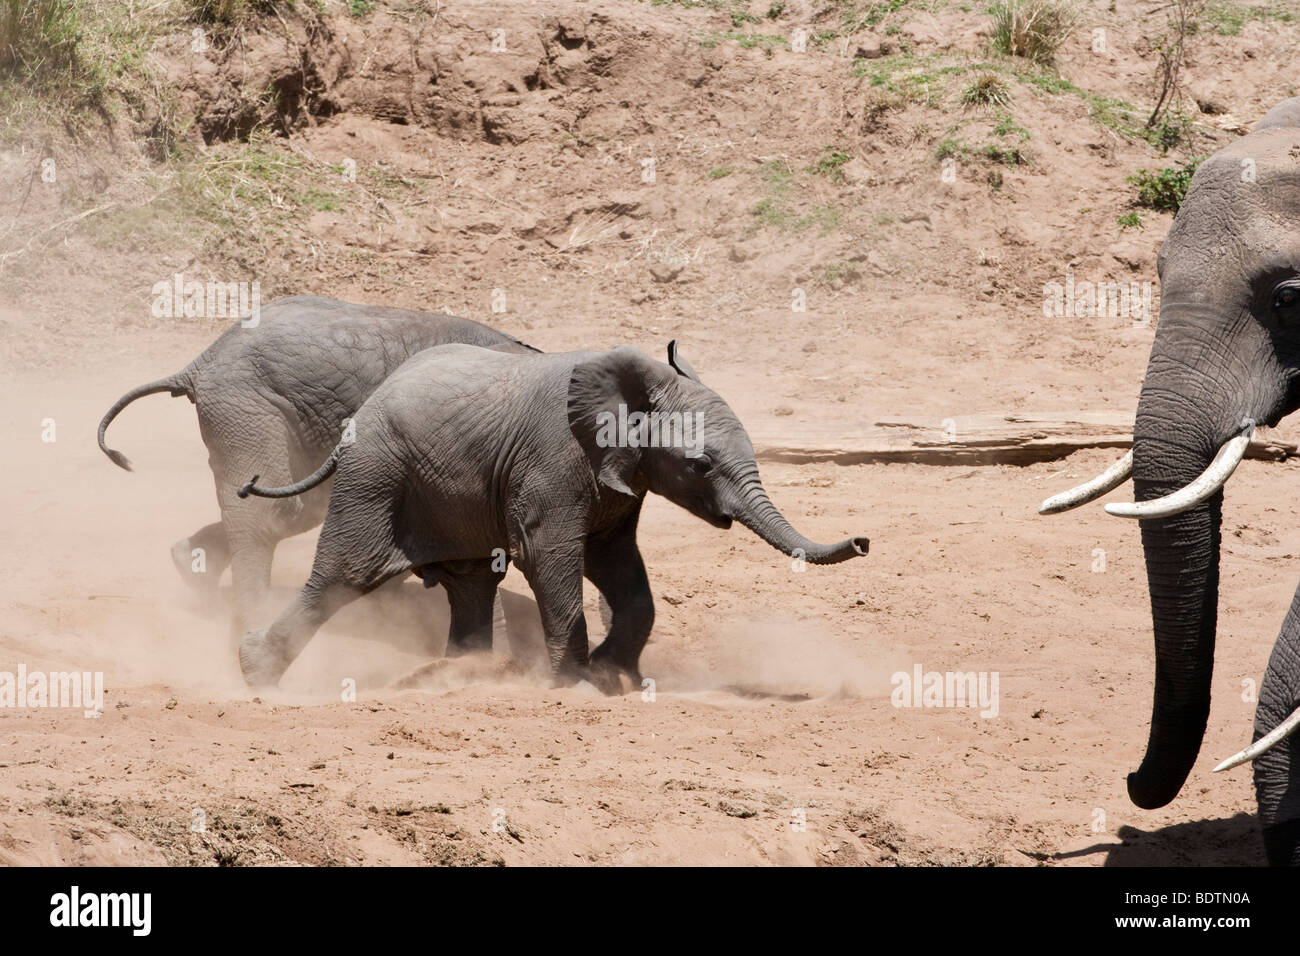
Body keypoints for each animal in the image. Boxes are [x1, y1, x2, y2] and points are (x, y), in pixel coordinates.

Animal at [241, 343, 873, 697]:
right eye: (700, 465)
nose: (864, 540)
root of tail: (365, 407)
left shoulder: (618, 476)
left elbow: (618, 566)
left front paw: (614, 676)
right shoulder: (554, 458)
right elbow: (550, 556)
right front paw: (577, 685)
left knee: (471, 583)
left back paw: (467, 676)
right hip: (376, 476)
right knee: (345, 575)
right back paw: (256, 675)